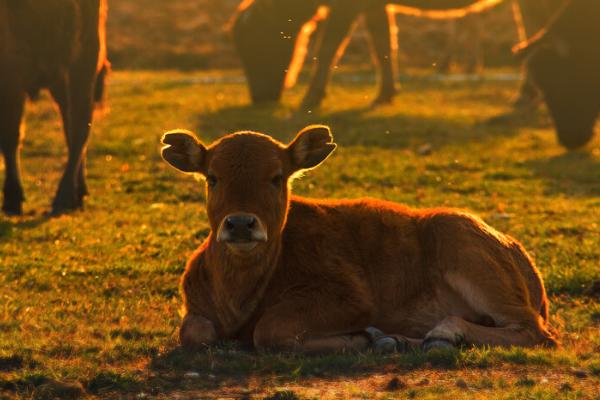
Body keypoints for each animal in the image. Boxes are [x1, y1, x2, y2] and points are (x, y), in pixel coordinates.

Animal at [0, 0, 109, 216]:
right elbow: (9, 137)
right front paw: (13, 198)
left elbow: (11, 135)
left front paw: (13, 198)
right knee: (71, 125)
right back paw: (78, 192)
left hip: (79, 62)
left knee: (78, 127)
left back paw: (66, 196)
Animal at [161, 125, 556, 354]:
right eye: (212, 177)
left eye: (277, 177)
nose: (241, 224)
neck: (240, 298)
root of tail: (522, 259)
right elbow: (194, 330)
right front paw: (378, 338)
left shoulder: (351, 298)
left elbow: (269, 330)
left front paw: (361, 337)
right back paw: (402, 339)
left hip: (466, 249)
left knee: (535, 331)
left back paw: (440, 334)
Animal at [232, 0, 560, 109]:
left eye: (253, 44)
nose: (259, 97)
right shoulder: (375, 7)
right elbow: (383, 45)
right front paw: (385, 93)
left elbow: (328, 48)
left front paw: (311, 97)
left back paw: (525, 94)